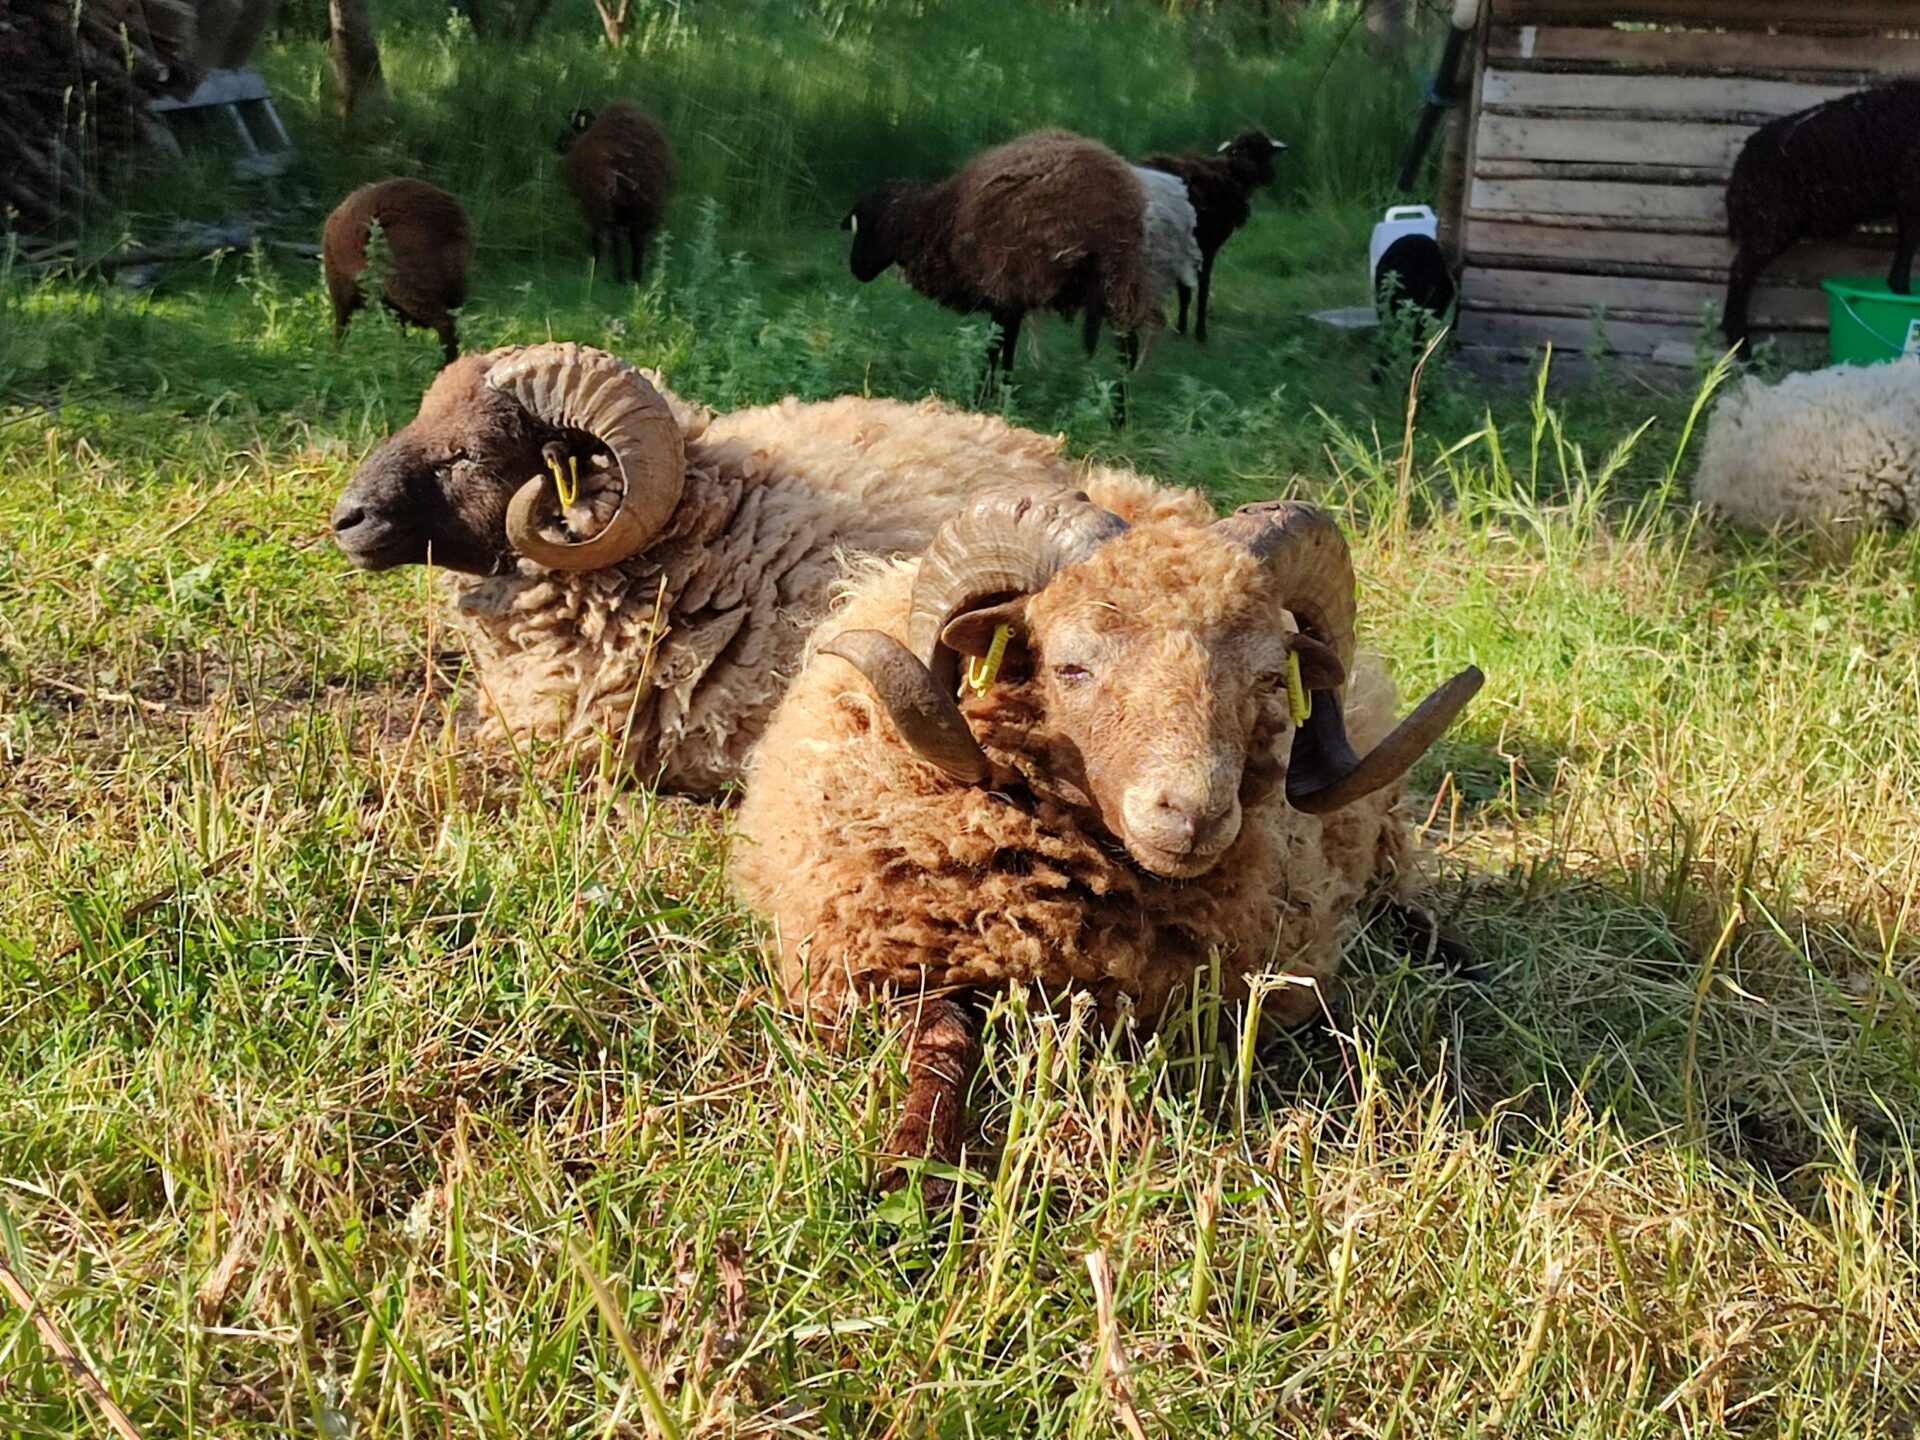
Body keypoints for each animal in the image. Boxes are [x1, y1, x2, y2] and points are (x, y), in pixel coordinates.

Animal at [322, 179, 472, 366]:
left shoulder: (342, 289)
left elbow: (341, 326)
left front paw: (335, 357)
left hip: (409, 280)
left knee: (444, 323)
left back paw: (446, 365)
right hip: (453, 283)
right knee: (452, 320)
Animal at [560, 102, 679, 284]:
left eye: (572, 127)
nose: (558, 144)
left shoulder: (592, 208)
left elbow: (597, 237)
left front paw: (595, 263)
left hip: (607, 206)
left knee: (617, 239)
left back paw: (619, 276)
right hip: (647, 209)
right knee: (637, 242)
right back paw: (636, 278)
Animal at [844, 129, 1152, 414]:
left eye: (868, 226)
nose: (856, 269)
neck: (940, 220)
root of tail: (1110, 199)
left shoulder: (1006, 288)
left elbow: (997, 347)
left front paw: (986, 398)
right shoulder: (1012, 299)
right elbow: (1005, 349)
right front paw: (1001, 397)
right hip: (1120, 278)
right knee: (1126, 348)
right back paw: (1119, 418)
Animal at [1136, 129, 1290, 343]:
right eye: (1267, 153)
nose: (1271, 176)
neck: (1235, 171)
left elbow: (1185, 290)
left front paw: (1181, 328)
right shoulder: (1207, 247)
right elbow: (1201, 288)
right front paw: (1199, 332)